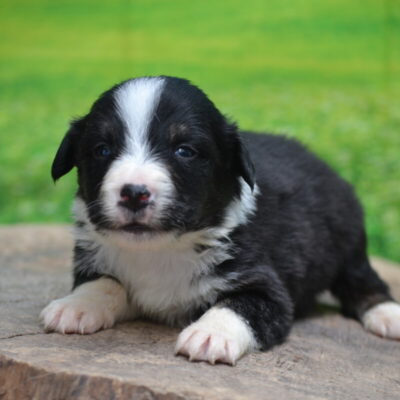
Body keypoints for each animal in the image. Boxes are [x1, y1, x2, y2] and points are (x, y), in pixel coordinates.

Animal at [41, 76, 400, 365]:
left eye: (184, 151)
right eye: (102, 149)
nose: (134, 193)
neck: (161, 250)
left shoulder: (265, 286)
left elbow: (238, 305)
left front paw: (210, 334)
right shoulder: (96, 259)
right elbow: (104, 282)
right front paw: (76, 305)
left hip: (348, 242)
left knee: (364, 282)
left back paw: (387, 315)